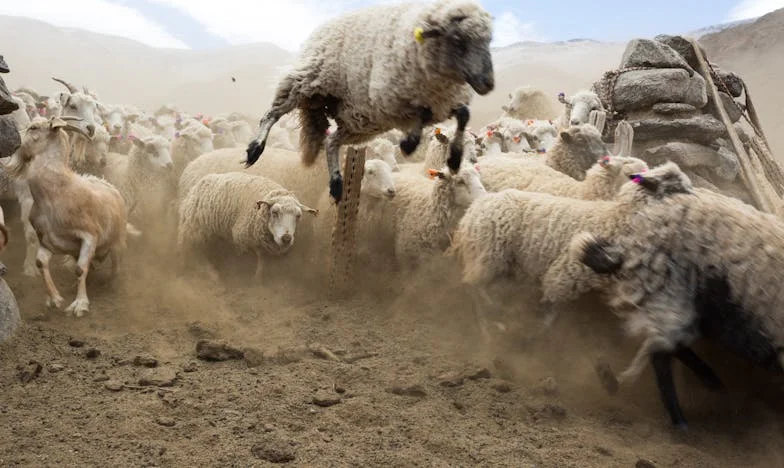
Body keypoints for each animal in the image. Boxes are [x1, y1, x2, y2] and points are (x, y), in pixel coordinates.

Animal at [178, 173, 318, 280]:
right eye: (274, 212)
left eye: (298, 216)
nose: (286, 238)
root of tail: (198, 184)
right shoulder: (242, 242)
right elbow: (253, 262)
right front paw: (253, 278)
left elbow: (263, 262)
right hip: (194, 233)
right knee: (194, 253)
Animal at [245, 0, 494, 204]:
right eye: (458, 40)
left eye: (488, 40)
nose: (488, 83)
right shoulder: (390, 99)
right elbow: (422, 113)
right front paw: (409, 143)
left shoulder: (442, 105)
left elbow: (463, 114)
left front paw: (454, 159)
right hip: (308, 81)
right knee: (272, 114)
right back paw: (255, 149)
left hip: (358, 124)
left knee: (331, 142)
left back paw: (336, 184)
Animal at [450, 163, 696, 342]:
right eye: (677, 187)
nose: (698, 199)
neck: (617, 220)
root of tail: (478, 204)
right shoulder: (564, 274)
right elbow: (549, 313)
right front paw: (534, 334)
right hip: (487, 256)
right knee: (473, 288)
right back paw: (489, 322)